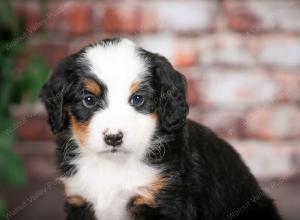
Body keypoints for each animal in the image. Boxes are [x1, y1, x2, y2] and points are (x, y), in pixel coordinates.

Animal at [41, 38, 282, 220]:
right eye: (89, 100)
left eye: (138, 99)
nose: (114, 138)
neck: (113, 167)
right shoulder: (80, 199)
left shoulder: (164, 201)